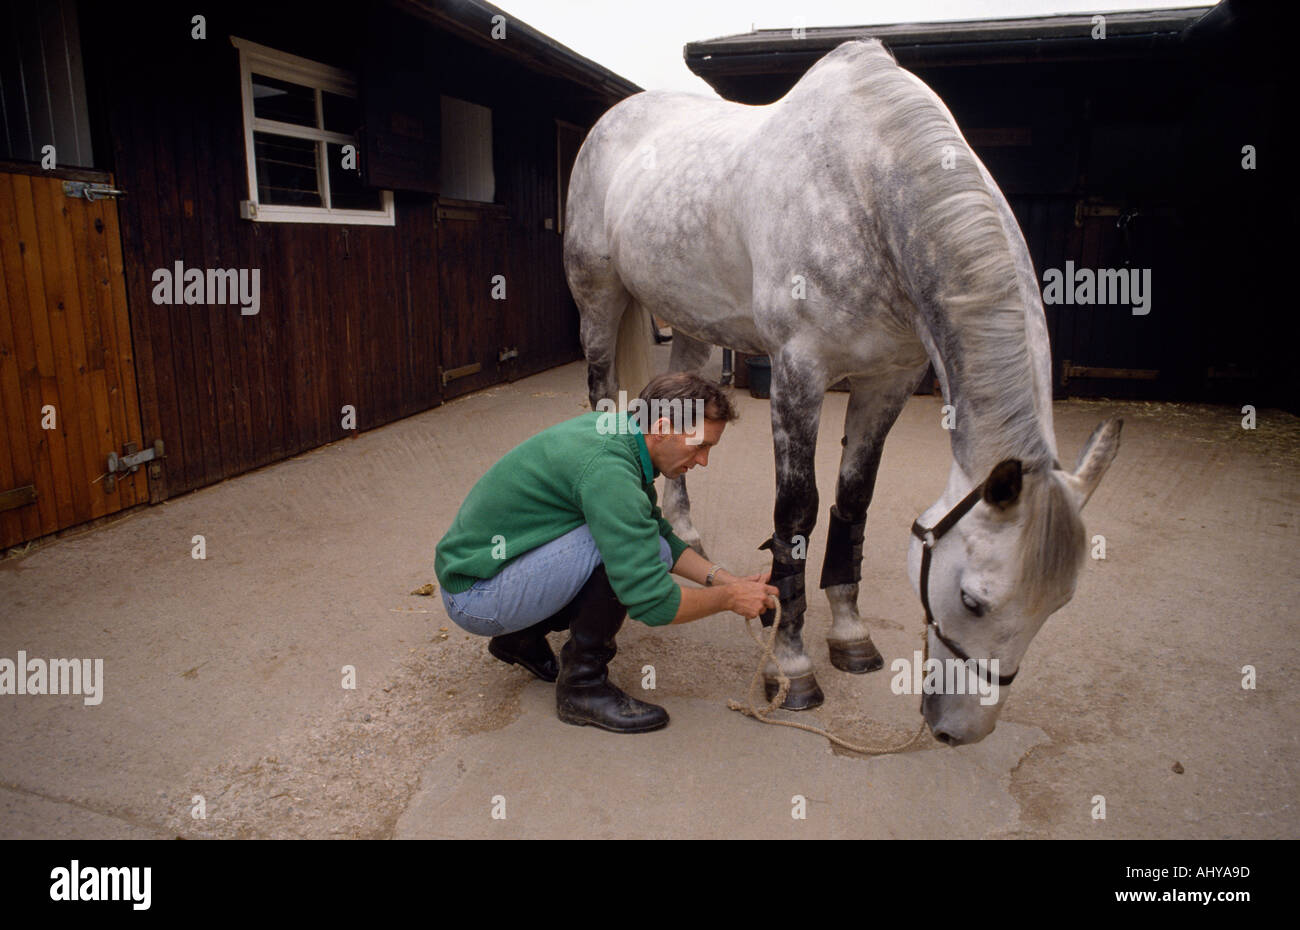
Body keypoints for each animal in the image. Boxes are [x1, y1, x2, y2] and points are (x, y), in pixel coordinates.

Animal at [562, 38, 1121, 745]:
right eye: (972, 600)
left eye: (1060, 603)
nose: (961, 729)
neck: (865, 189)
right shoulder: (799, 373)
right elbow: (796, 513)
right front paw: (792, 667)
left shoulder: (888, 381)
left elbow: (854, 501)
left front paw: (850, 636)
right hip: (599, 302)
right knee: (603, 398)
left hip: (691, 323)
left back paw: (684, 532)